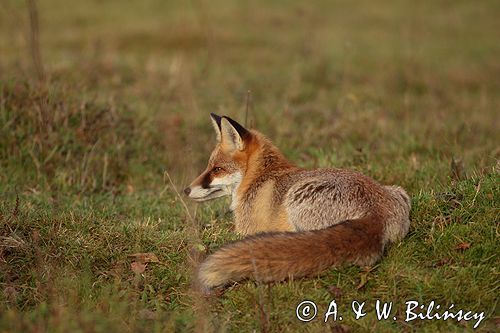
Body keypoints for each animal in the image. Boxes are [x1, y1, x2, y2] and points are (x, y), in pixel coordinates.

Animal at [184, 113, 410, 290]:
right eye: (209, 166)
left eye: (217, 169)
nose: (186, 190)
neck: (259, 177)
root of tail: (376, 212)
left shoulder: (245, 229)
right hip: (400, 191)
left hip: (296, 197)